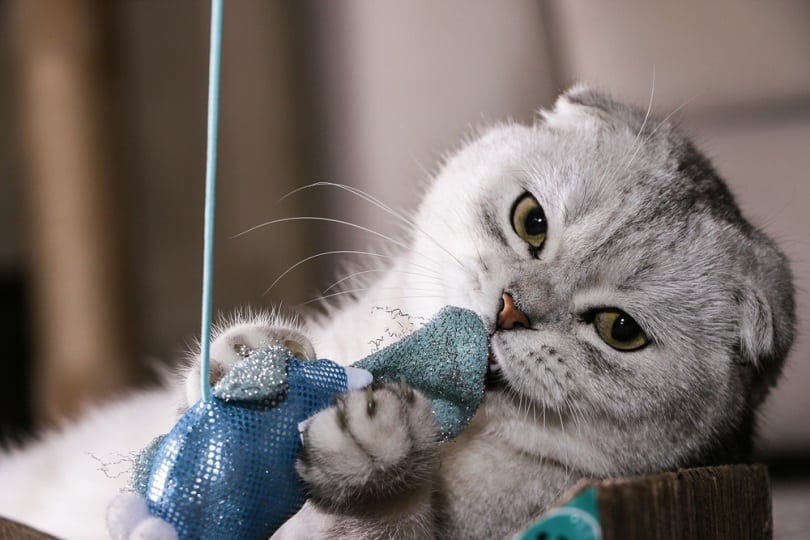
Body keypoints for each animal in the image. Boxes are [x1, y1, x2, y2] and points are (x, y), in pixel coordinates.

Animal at [0, 86, 796, 536]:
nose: (511, 310)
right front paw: (251, 355)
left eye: (619, 331)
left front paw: (372, 455)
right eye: (532, 222)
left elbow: (372, 522)